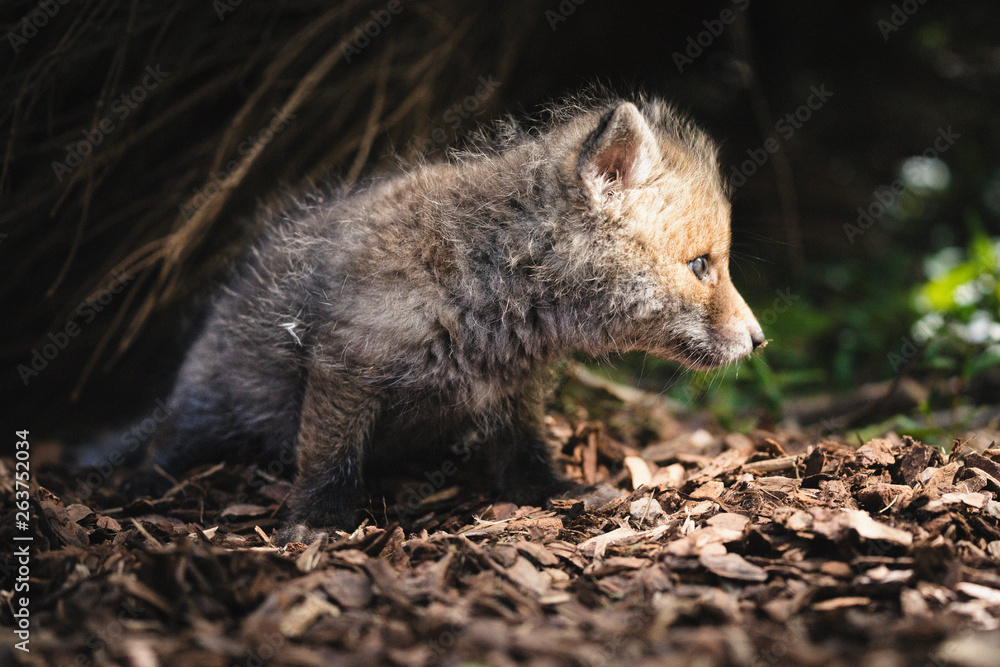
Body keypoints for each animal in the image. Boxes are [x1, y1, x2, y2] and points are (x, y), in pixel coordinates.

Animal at [131, 95, 765, 544]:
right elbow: (330, 459)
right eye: (701, 265)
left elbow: (527, 454)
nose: (760, 340)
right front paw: (316, 523)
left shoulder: (515, 389)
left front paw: (562, 493)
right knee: (163, 444)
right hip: (205, 413)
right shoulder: (345, 366)